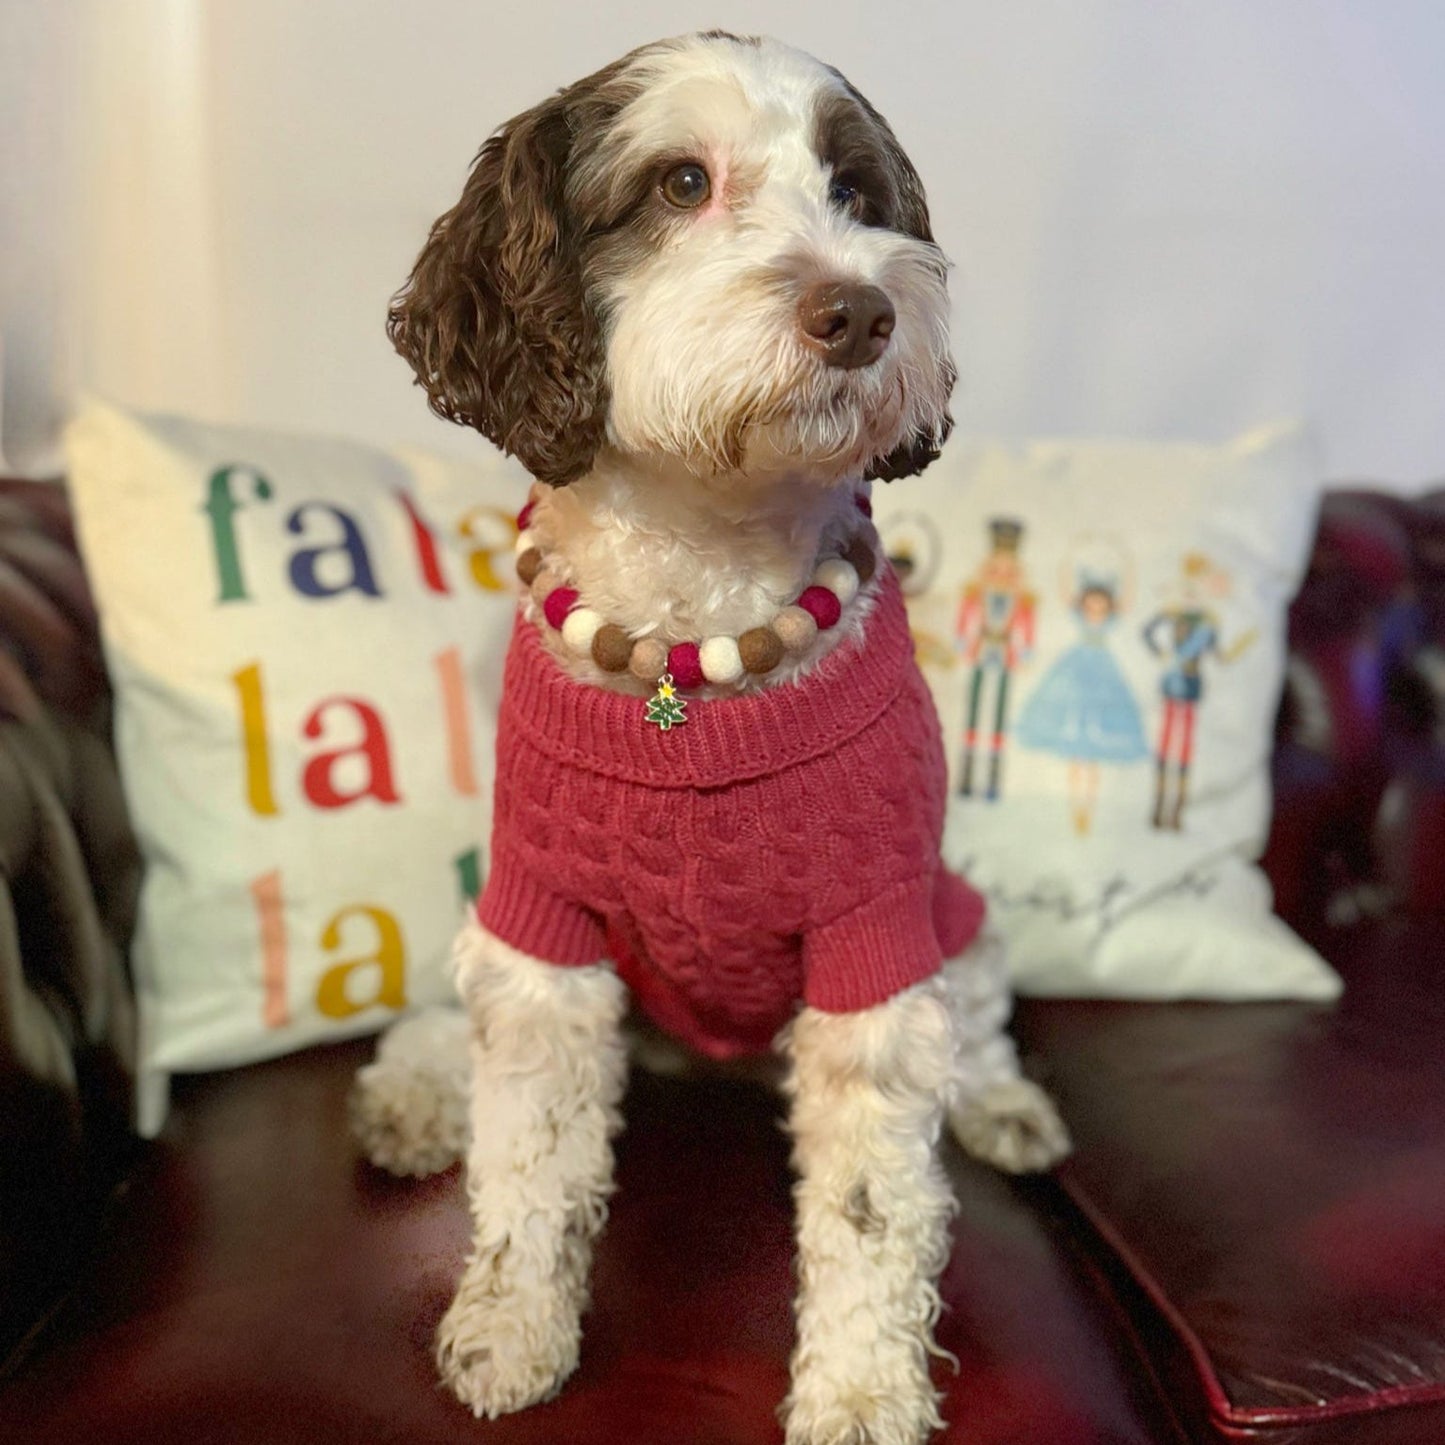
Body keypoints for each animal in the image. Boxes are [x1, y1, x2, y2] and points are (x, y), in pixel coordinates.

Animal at [351, 33, 1075, 1445]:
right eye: (680, 181)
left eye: (856, 192)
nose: (859, 309)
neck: (696, 652)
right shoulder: (545, 923)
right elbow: (526, 1159)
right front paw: (511, 1328)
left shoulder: (871, 937)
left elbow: (870, 1208)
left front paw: (861, 1391)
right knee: (445, 1030)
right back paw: (411, 1097)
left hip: (953, 915)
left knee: (979, 1020)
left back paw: (1006, 1101)